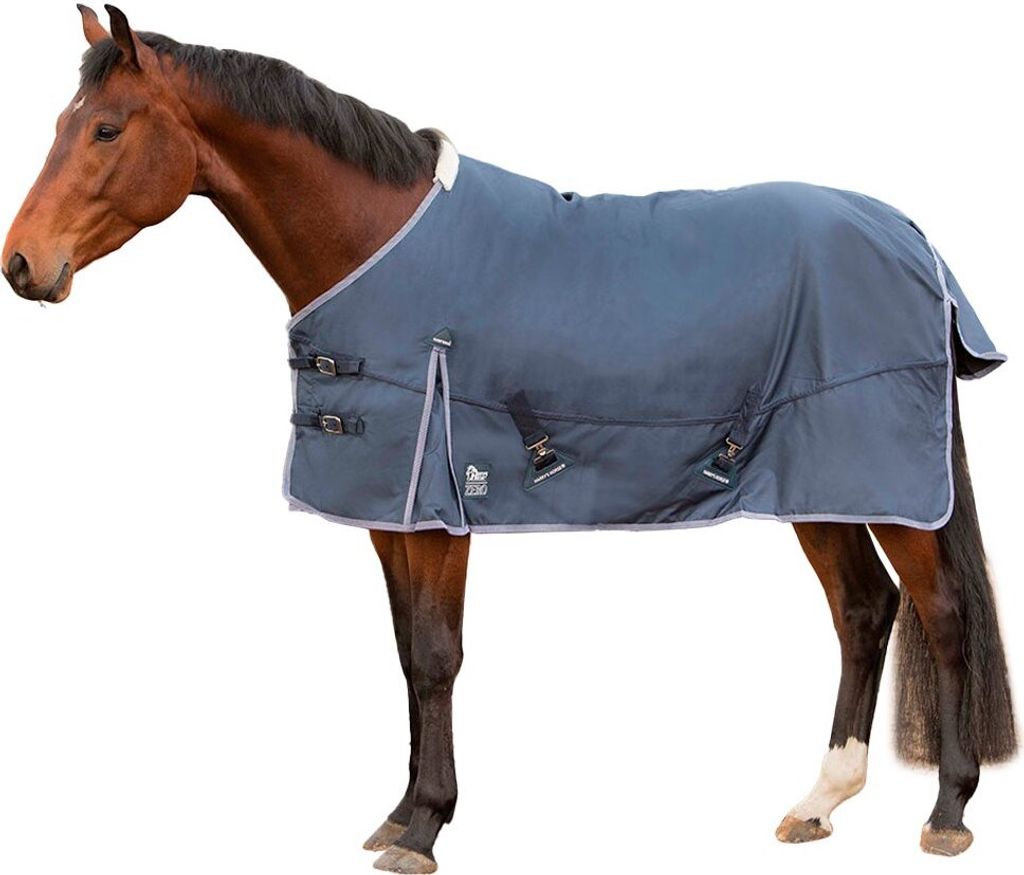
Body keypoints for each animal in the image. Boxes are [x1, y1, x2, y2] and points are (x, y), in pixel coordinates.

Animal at [2, 6, 1016, 873]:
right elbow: (405, 654)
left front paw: (426, 828)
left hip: (886, 482)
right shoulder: (392, 509)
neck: (379, 243)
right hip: (825, 482)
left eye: (106, 130)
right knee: (865, 611)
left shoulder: (444, 505)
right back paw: (819, 801)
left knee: (942, 613)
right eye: (61, 121)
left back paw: (948, 812)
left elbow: (438, 654)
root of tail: (910, 235)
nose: (22, 264)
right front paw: (398, 814)